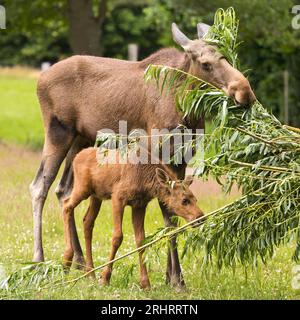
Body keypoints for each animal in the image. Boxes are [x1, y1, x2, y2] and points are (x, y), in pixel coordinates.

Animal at [63, 148, 204, 288]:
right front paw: (105, 278)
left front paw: (145, 283)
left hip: (96, 196)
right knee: (66, 205)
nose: (201, 217)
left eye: (196, 199)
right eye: (184, 200)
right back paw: (67, 260)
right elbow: (117, 237)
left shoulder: (139, 205)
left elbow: (141, 241)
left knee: (87, 221)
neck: (145, 182)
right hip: (83, 187)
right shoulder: (118, 196)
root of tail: (76, 157)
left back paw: (90, 273)